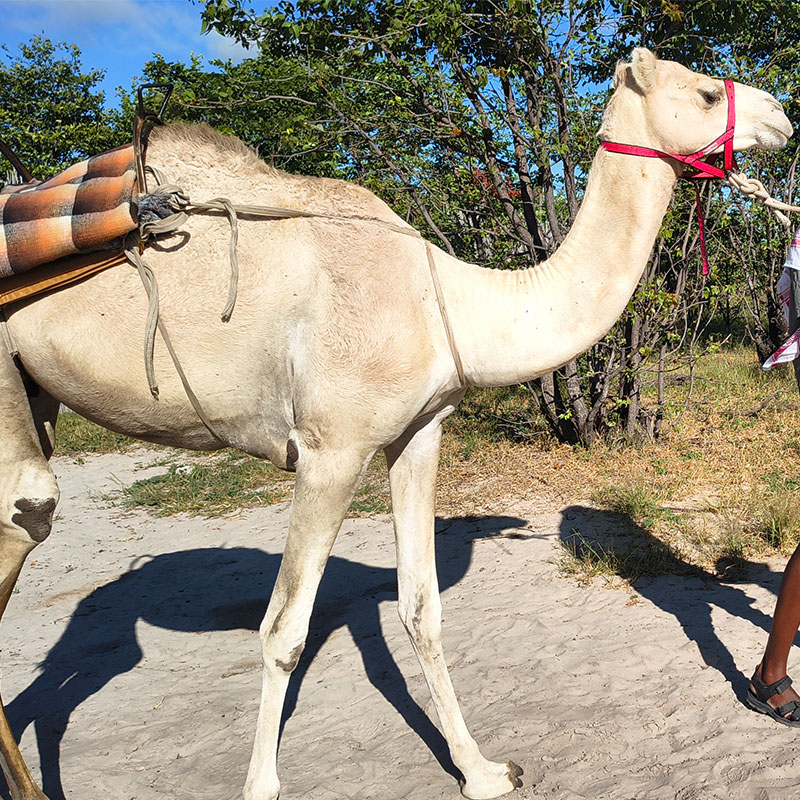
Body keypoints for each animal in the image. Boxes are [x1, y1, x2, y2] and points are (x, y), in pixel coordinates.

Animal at [0, 48, 791, 800]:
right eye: (706, 94)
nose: (782, 113)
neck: (444, 297)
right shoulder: (331, 448)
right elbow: (284, 631)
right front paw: (261, 786)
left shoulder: (419, 432)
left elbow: (421, 607)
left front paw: (483, 771)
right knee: (28, 510)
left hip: (33, 392)